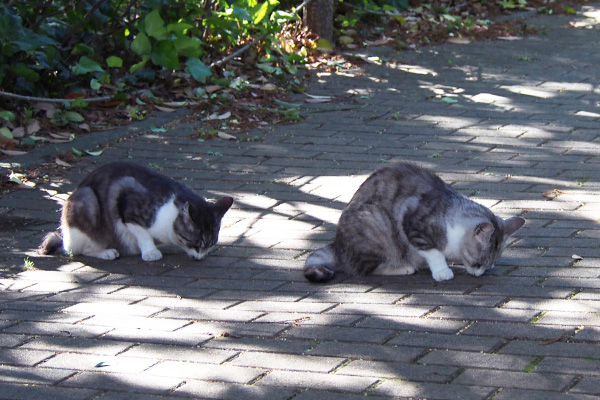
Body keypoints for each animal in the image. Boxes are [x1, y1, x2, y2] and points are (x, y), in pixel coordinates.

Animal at [38, 161, 233, 260]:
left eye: (210, 244)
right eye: (195, 244)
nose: (200, 257)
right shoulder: (128, 208)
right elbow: (143, 234)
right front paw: (150, 252)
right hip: (87, 201)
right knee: (76, 250)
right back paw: (106, 252)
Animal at [304, 161, 524, 282]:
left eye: (488, 265)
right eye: (478, 263)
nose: (479, 274)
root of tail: (337, 245)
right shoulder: (412, 223)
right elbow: (433, 251)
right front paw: (442, 270)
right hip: (375, 222)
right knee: (364, 268)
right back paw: (403, 267)